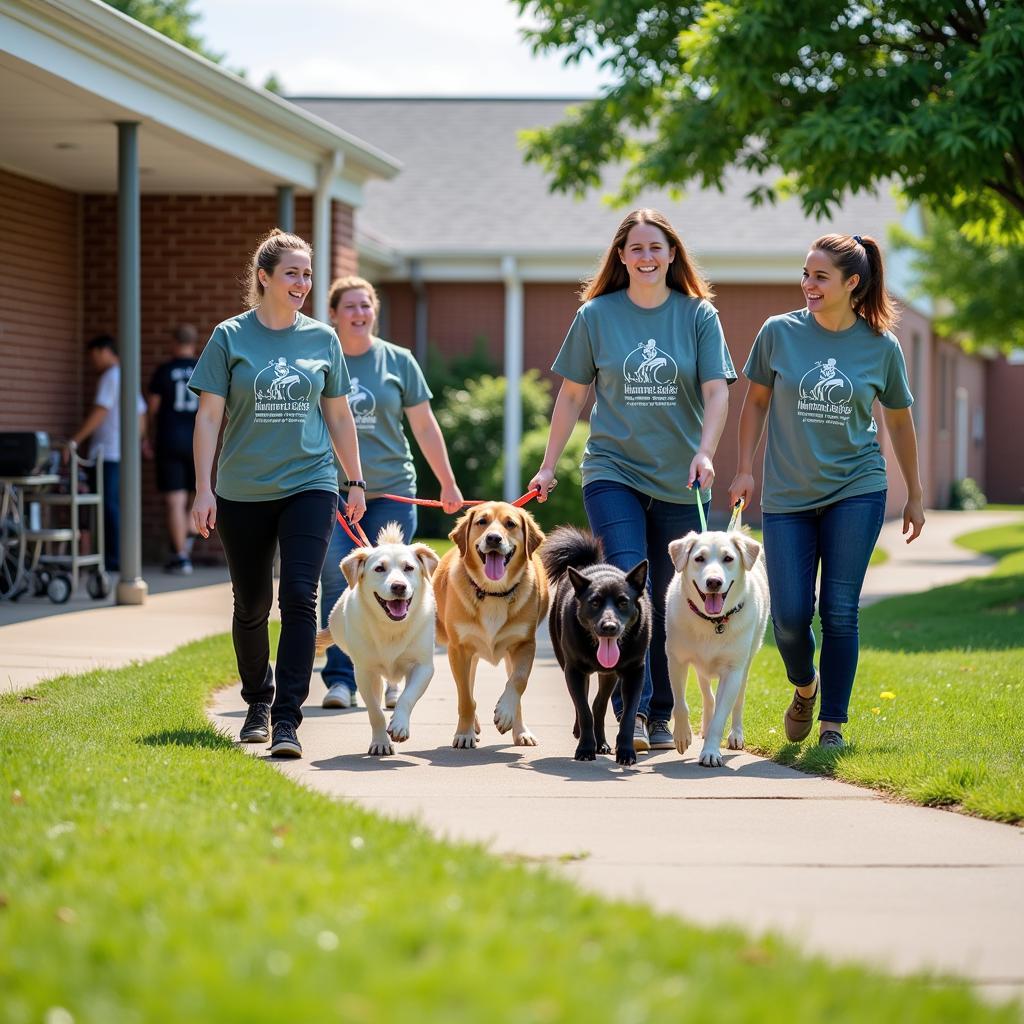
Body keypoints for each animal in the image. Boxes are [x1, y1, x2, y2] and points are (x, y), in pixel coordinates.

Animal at [313, 524, 438, 757]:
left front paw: (399, 724)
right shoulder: (364, 671)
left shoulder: (423, 667)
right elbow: (374, 710)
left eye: (409, 568)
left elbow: (407, 697)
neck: (391, 627)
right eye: (379, 568)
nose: (398, 586)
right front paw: (381, 742)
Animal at [432, 501, 548, 749]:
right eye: (481, 522)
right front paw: (464, 733)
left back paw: (520, 730)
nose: (494, 538)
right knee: (466, 690)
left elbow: (519, 682)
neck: (493, 593)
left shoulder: (525, 644)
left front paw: (505, 714)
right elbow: (465, 697)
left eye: (510, 524)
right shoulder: (459, 650)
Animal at [544, 528, 647, 761]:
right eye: (594, 602)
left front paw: (626, 751)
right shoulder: (574, 669)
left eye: (623, 602)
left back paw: (602, 743)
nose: (609, 627)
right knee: (585, 704)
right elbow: (584, 712)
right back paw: (583, 735)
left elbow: (628, 716)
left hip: (610, 675)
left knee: (599, 705)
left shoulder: (635, 671)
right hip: (567, 663)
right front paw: (585, 748)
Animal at [663, 532, 770, 765]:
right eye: (699, 558)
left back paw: (736, 734)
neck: (713, 621)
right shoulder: (676, 660)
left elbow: (721, 716)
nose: (714, 582)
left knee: (738, 700)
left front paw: (711, 751)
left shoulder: (732, 672)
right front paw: (682, 735)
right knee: (707, 695)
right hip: (701, 667)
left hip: (745, 664)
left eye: (728, 558)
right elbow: (680, 704)